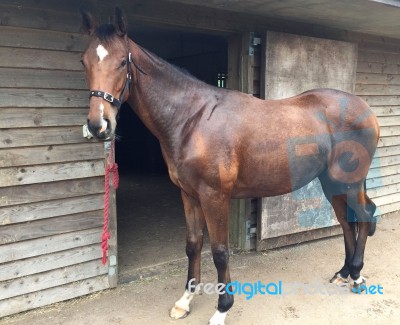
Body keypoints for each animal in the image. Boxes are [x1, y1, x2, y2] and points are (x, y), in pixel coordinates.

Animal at [80, 8, 378, 324]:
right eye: (84, 61)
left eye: (122, 61)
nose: (98, 125)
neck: (192, 118)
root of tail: (365, 110)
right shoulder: (188, 194)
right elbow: (193, 244)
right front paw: (185, 300)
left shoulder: (215, 197)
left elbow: (220, 251)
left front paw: (222, 308)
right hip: (332, 182)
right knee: (346, 220)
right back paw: (344, 273)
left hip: (348, 182)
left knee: (363, 216)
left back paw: (357, 275)